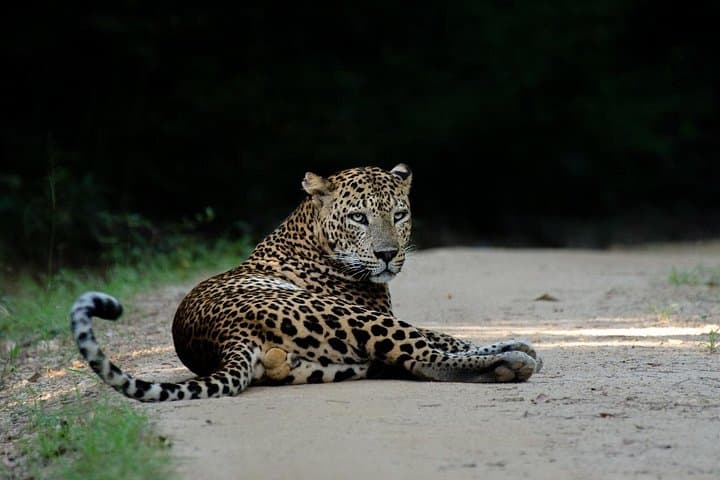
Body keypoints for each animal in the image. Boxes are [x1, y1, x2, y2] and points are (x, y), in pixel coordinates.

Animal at [71, 164, 542, 402]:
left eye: (399, 214)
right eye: (359, 217)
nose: (387, 254)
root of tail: (222, 337)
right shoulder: (374, 311)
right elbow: (440, 336)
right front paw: (516, 345)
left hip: (332, 363)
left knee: (412, 359)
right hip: (345, 316)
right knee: (419, 351)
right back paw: (514, 361)